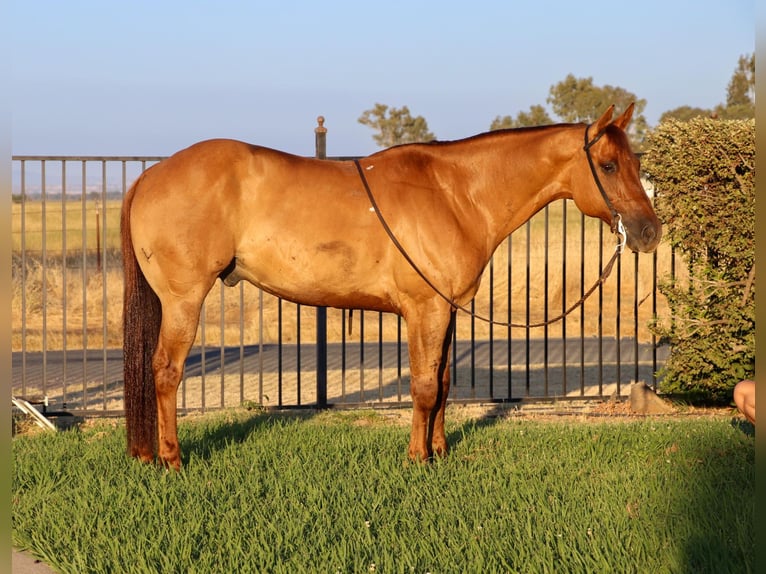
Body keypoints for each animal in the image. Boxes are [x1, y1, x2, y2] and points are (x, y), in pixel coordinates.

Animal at [120, 104, 660, 472]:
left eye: (636, 163)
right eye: (608, 165)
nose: (650, 232)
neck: (455, 193)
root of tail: (151, 175)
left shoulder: (448, 310)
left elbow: (444, 381)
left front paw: (439, 451)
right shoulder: (425, 309)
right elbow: (423, 386)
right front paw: (417, 458)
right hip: (184, 300)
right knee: (165, 372)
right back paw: (171, 459)